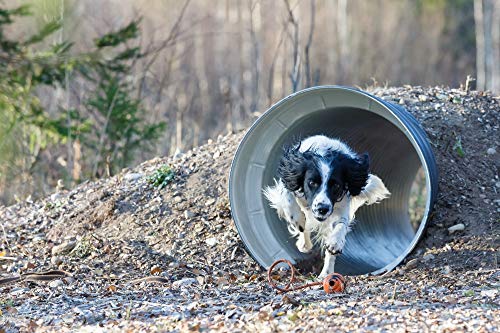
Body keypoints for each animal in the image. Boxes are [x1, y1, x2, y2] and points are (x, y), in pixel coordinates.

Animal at [264, 134, 388, 276]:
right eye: (312, 183)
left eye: (336, 185)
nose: (322, 209)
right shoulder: (290, 178)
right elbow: (289, 201)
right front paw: (299, 222)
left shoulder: (340, 209)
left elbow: (340, 226)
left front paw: (335, 243)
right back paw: (305, 244)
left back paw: (325, 274)